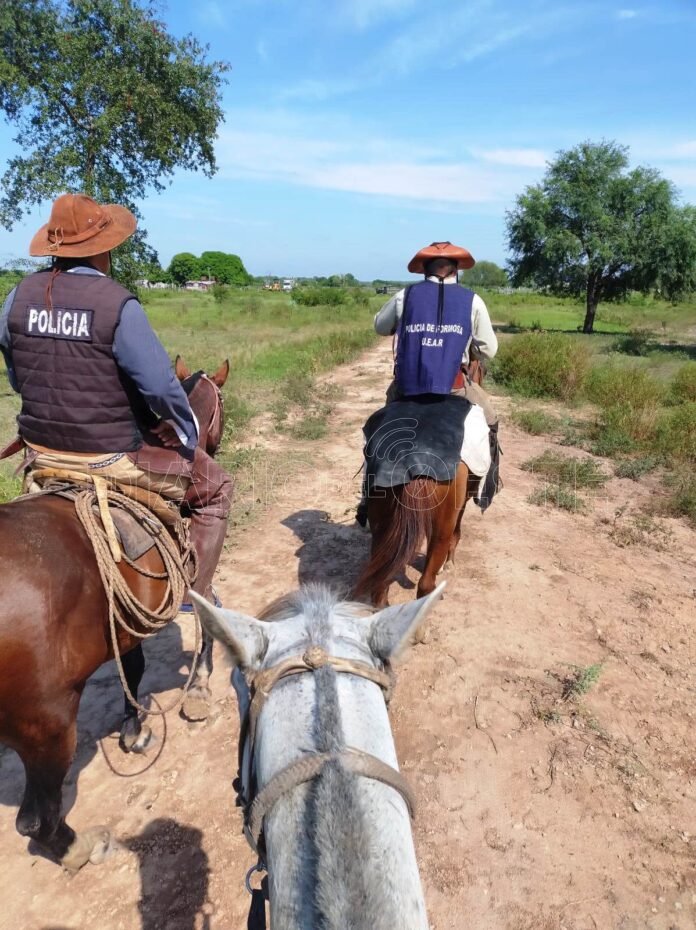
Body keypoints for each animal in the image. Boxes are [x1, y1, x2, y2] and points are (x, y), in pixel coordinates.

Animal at [0, 356, 227, 871]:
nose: (213, 442)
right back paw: (80, 848)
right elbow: (204, 613)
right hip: (46, 723)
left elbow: (134, 665)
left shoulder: (125, 618)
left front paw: (134, 727)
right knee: (35, 820)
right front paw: (199, 685)